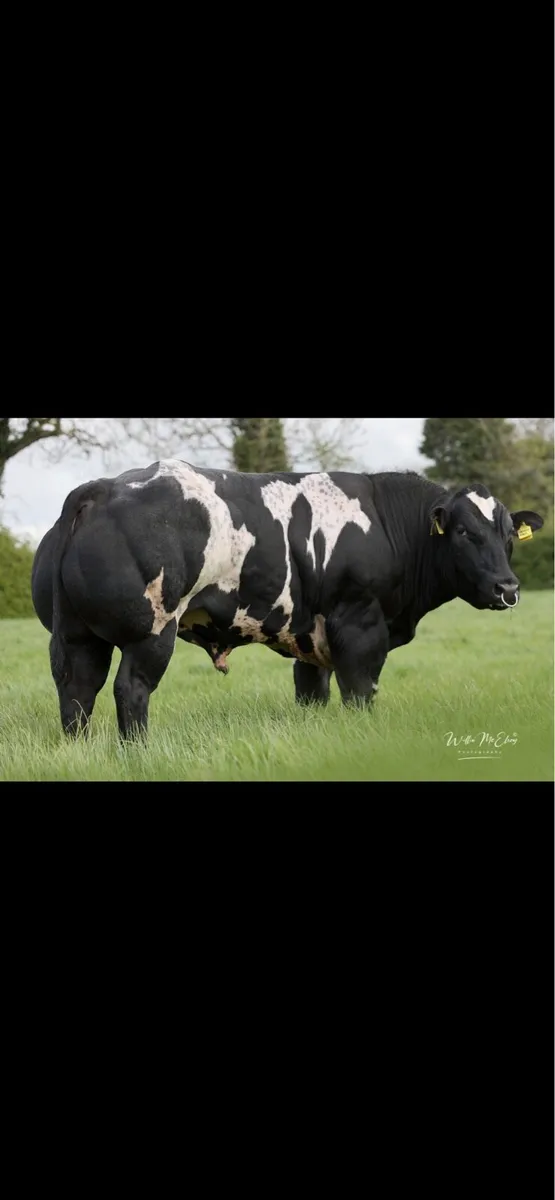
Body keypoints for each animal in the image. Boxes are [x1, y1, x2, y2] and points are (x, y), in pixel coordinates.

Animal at [31, 459, 543, 740]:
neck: (386, 522)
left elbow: (312, 693)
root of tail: (103, 487)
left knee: (77, 691)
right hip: (152, 631)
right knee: (130, 690)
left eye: (507, 536)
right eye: (463, 532)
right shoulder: (359, 627)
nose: (508, 589)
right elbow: (360, 693)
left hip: (77, 634)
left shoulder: (311, 638)